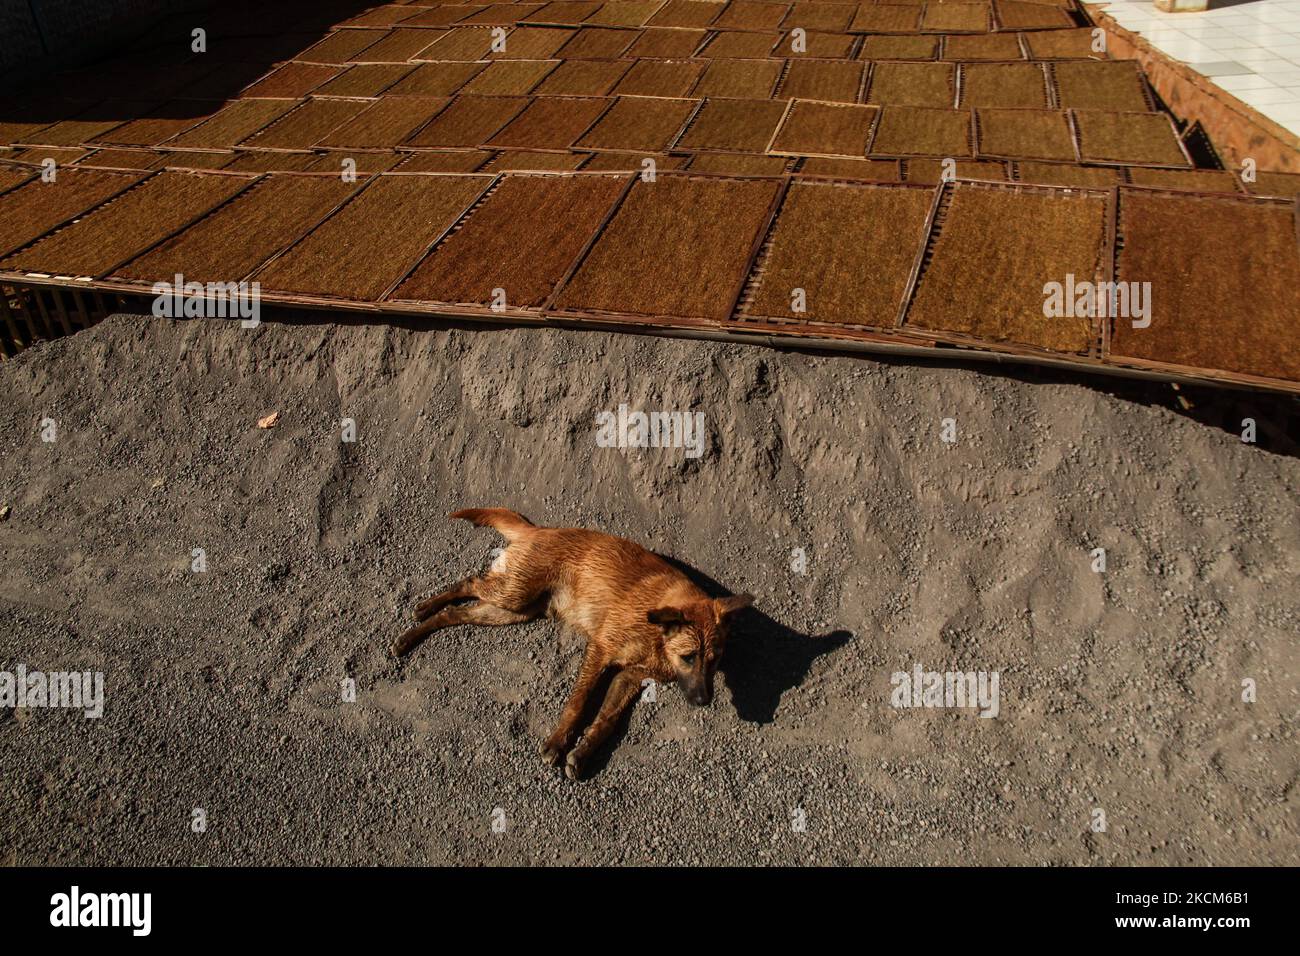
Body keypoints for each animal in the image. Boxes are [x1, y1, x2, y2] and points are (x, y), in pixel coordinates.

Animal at [390, 509, 754, 780]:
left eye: (715, 660)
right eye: (689, 657)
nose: (703, 701)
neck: (656, 634)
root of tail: (539, 530)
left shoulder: (629, 677)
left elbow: (606, 720)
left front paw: (583, 752)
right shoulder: (600, 652)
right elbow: (578, 703)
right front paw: (556, 742)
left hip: (512, 611)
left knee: (456, 613)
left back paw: (412, 635)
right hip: (510, 594)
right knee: (469, 582)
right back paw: (424, 608)